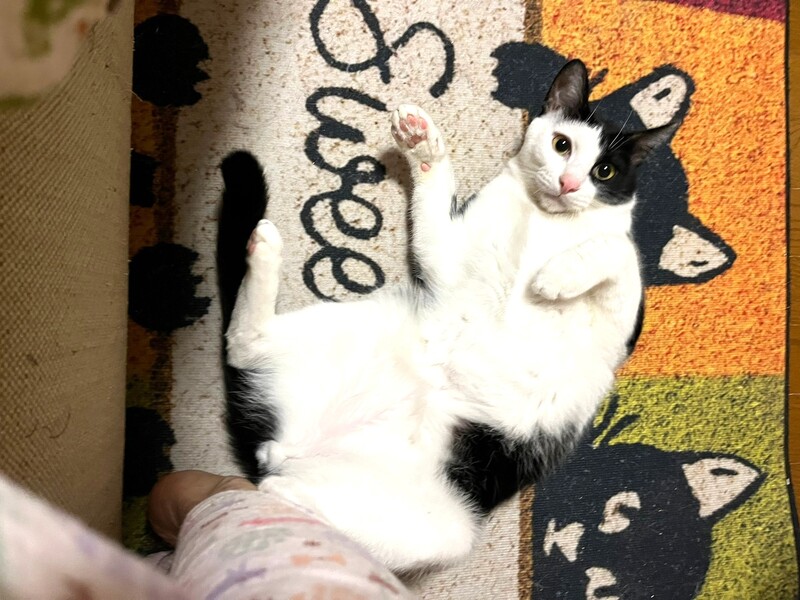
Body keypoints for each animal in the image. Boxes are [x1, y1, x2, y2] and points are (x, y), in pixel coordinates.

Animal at [216, 60, 676, 572]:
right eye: (562, 145)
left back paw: (281, 491)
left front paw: (557, 276)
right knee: (245, 343)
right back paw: (264, 249)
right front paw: (422, 145)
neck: (546, 223)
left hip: (442, 526)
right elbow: (436, 209)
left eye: (605, 170)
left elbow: (620, 251)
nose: (570, 184)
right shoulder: (449, 257)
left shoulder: (617, 330)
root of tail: (295, 445)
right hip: (364, 328)